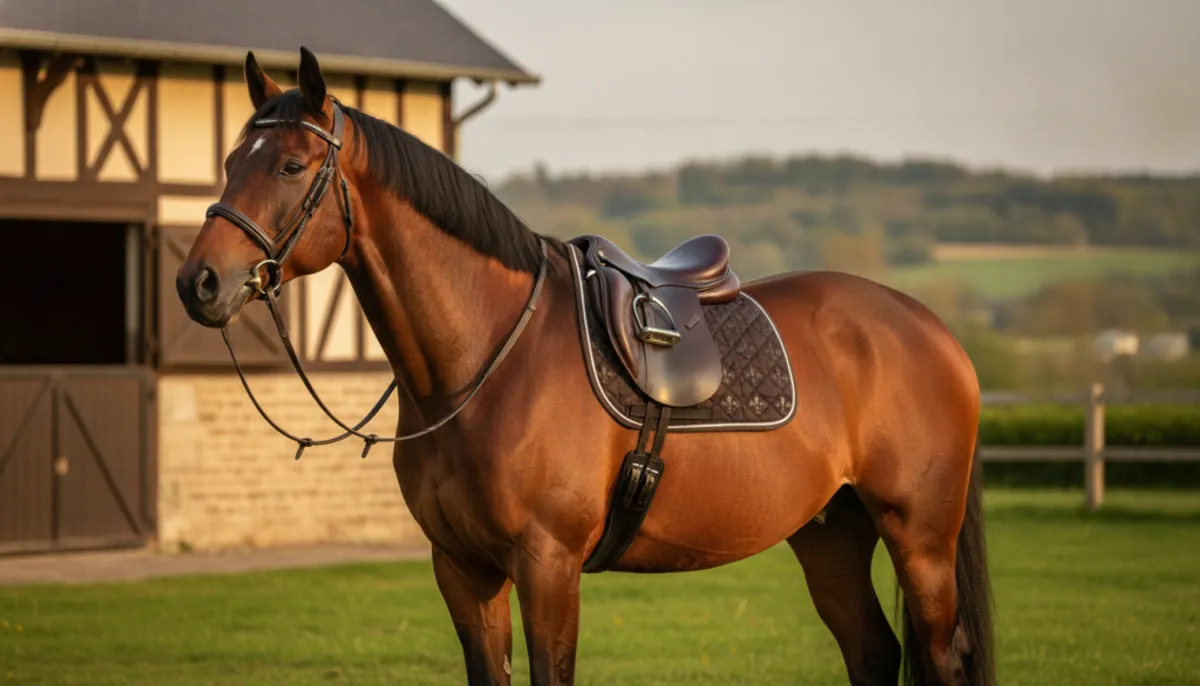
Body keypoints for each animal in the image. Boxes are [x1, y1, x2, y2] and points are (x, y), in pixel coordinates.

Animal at [175, 47, 994, 686]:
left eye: (291, 164)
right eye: (228, 162)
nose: (199, 283)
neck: (487, 361)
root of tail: (931, 329)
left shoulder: (548, 565)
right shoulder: (462, 569)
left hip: (920, 540)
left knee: (938, 658)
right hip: (830, 534)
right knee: (873, 653)